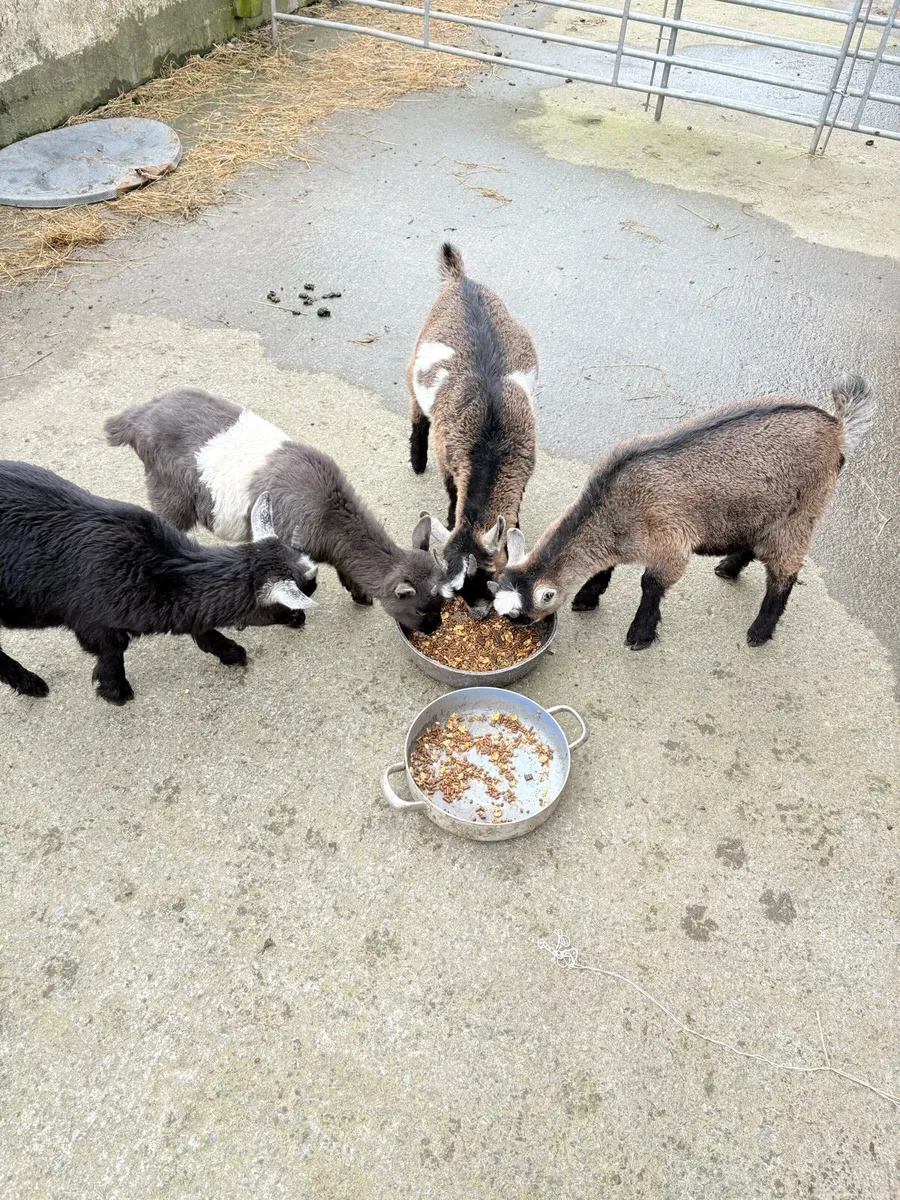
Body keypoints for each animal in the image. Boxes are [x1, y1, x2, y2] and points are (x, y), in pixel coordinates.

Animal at [0, 462, 317, 704]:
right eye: (306, 588)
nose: (300, 618)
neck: (154, 570)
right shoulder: (93, 623)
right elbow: (112, 653)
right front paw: (116, 692)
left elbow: (201, 627)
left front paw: (229, 652)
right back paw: (30, 683)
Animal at [105, 387, 444, 633]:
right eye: (420, 608)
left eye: (441, 603)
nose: (433, 629)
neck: (327, 511)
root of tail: (136, 419)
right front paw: (294, 616)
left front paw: (360, 595)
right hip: (168, 492)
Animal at [408, 243, 537, 606]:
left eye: (488, 572)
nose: (478, 608)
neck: (489, 441)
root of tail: (460, 280)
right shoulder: (449, 457)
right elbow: (453, 494)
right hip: (414, 363)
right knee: (417, 411)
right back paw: (417, 460)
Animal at [493, 375, 875, 649]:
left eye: (522, 614)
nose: (513, 627)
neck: (614, 503)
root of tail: (836, 426)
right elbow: (604, 568)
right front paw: (588, 596)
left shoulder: (669, 540)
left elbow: (651, 584)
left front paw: (640, 633)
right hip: (762, 510)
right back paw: (729, 567)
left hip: (802, 510)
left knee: (785, 572)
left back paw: (760, 630)